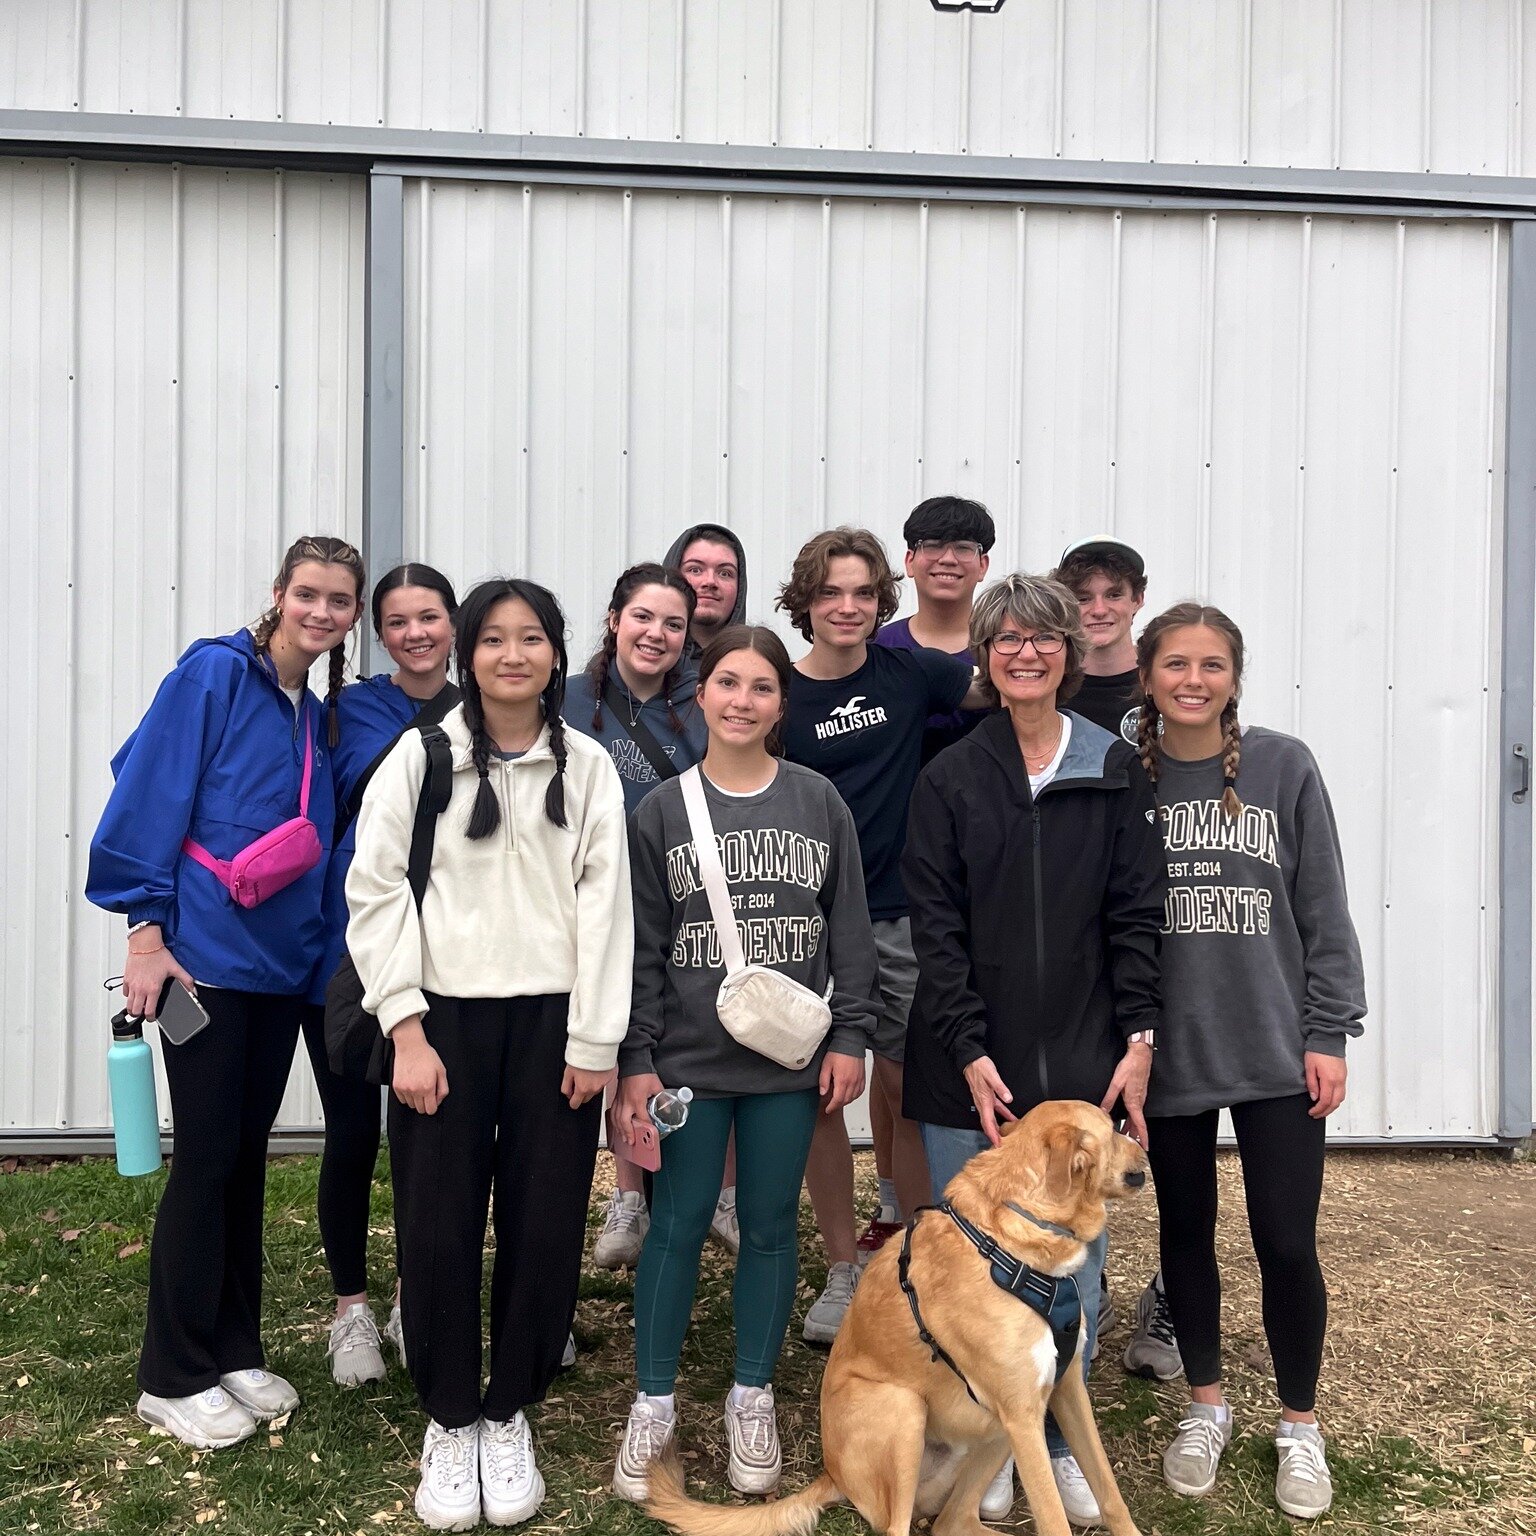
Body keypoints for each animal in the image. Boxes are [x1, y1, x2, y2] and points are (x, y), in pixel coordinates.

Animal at [642, 1099, 1148, 1536]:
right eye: (1112, 1128)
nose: (1144, 1142)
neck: (1013, 1238)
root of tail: (831, 1473)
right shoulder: (1024, 1414)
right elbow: (1054, 1518)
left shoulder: (1062, 1390)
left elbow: (1110, 1491)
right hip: (906, 1410)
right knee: (898, 1527)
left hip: (993, 1429)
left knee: (950, 1524)